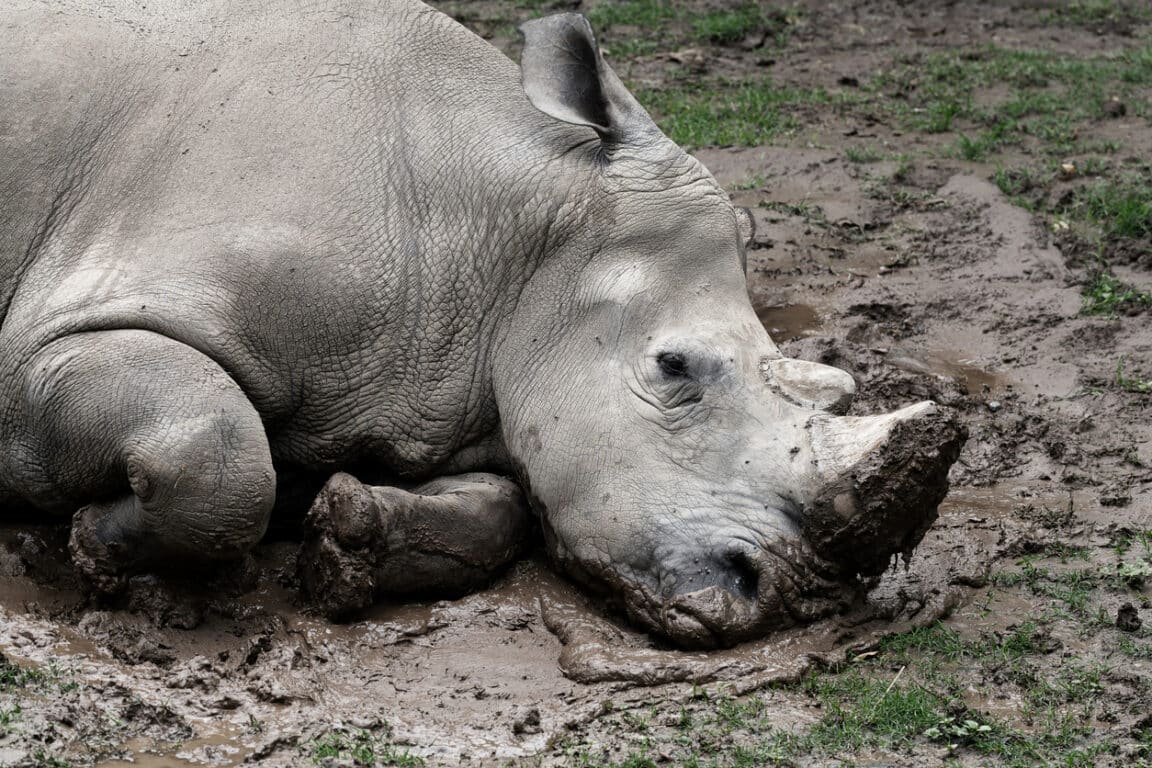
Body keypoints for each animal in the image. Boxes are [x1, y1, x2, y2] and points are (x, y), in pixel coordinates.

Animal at [0, 0, 963, 648]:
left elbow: (503, 503)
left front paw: (348, 541)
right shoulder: (49, 341)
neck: (508, 227)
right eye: (673, 368)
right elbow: (222, 457)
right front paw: (93, 544)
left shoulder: (446, 373)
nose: (791, 597)